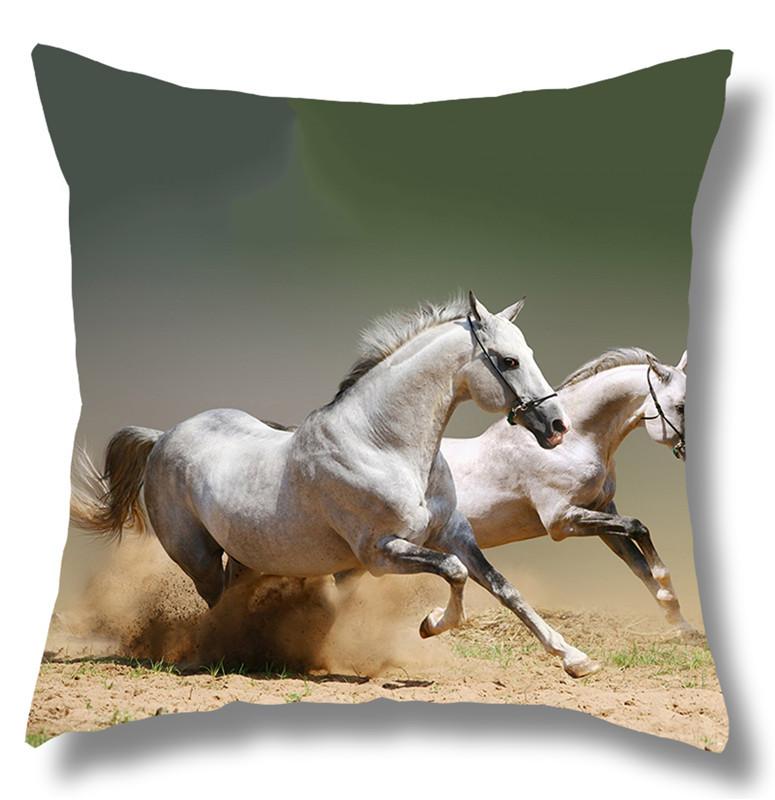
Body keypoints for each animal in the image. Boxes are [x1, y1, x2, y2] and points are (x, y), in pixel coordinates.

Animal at [71, 292, 603, 678]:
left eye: (528, 354)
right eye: (509, 361)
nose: (557, 426)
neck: (383, 444)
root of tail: (163, 436)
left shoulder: (454, 535)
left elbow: (504, 589)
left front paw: (576, 659)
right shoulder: (381, 553)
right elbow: (453, 575)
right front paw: (431, 625)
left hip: (246, 554)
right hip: (196, 555)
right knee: (216, 602)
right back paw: (225, 655)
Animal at [441, 348, 693, 633]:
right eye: (680, 406)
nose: (688, 451)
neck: (571, 443)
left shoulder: (601, 510)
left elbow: (637, 563)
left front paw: (680, 623)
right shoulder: (561, 521)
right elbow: (637, 527)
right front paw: (666, 589)